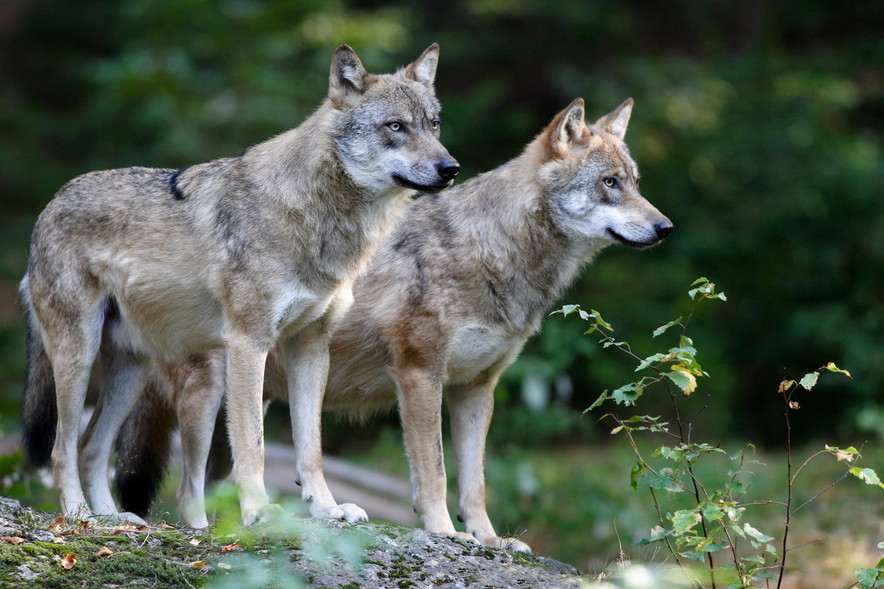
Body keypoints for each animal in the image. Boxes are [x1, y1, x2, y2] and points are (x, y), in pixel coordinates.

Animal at [19, 43, 460, 524]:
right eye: (396, 126)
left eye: (434, 125)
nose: (450, 167)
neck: (319, 221)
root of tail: (48, 207)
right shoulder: (249, 343)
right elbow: (253, 445)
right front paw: (259, 513)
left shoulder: (311, 346)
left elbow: (311, 449)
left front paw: (327, 509)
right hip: (81, 357)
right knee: (62, 449)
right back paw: (79, 514)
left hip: (132, 372)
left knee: (91, 447)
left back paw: (114, 520)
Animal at [114, 94, 672, 548]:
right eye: (609, 184)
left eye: (636, 184)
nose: (665, 227)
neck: (492, 251)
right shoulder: (419, 375)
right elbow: (436, 475)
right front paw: (447, 534)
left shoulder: (476, 389)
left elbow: (476, 483)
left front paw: (489, 541)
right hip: (209, 396)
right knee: (186, 492)